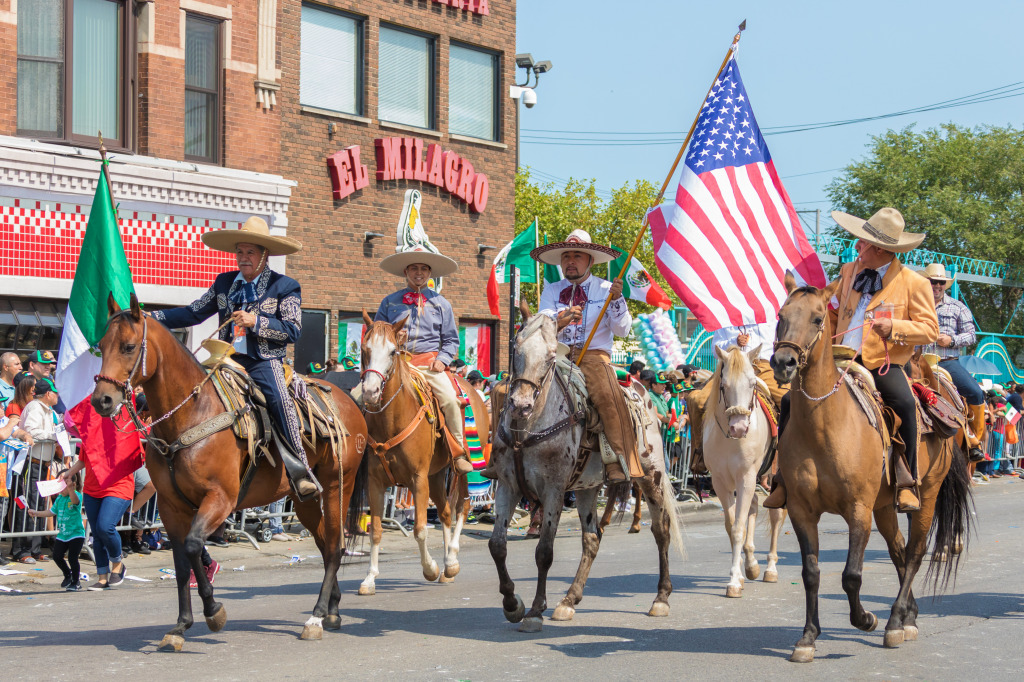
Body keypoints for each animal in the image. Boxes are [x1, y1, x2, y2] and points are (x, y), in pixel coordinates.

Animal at [90, 294, 366, 651]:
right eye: (100, 345)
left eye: (128, 346)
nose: (102, 400)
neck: (190, 415)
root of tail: (349, 401)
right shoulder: (171, 507)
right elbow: (182, 561)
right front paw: (180, 625)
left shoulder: (221, 499)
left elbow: (194, 546)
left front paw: (213, 611)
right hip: (303, 498)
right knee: (324, 542)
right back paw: (333, 609)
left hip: (336, 488)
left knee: (334, 547)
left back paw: (317, 617)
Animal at [358, 311, 489, 593]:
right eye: (365, 349)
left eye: (393, 351)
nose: (371, 392)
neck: (392, 418)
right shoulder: (375, 481)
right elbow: (376, 530)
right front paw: (370, 578)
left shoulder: (417, 479)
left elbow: (419, 529)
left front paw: (430, 568)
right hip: (436, 475)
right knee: (446, 513)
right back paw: (448, 567)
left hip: (461, 468)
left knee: (463, 506)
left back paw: (451, 561)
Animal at [485, 313, 684, 630]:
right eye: (516, 348)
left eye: (550, 357)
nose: (520, 404)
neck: (528, 428)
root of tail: (641, 390)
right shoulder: (508, 486)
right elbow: (497, 545)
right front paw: (512, 604)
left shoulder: (553, 490)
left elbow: (544, 552)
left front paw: (534, 611)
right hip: (587, 487)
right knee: (592, 538)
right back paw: (569, 600)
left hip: (651, 475)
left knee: (661, 530)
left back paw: (661, 598)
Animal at [700, 346, 786, 593]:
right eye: (724, 384)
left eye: (752, 383)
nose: (738, 428)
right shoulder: (721, 483)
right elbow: (732, 527)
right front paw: (739, 573)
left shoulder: (745, 478)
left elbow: (739, 527)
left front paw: (733, 582)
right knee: (754, 506)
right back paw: (752, 563)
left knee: (776, 515)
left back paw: (770, 569)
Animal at [770, 274, 970, 659]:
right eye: (781, 316)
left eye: (818, 318)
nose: (783, 362)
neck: (823, 423)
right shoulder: (802, 510)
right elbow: (811, 573)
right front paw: (808, 637)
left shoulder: (858, 509)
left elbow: (851, 575)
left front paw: (865, 619)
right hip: (885, 506)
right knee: (898, 550)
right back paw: (909, 616)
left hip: (925, 495)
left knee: (915, 552)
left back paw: (894, 622)